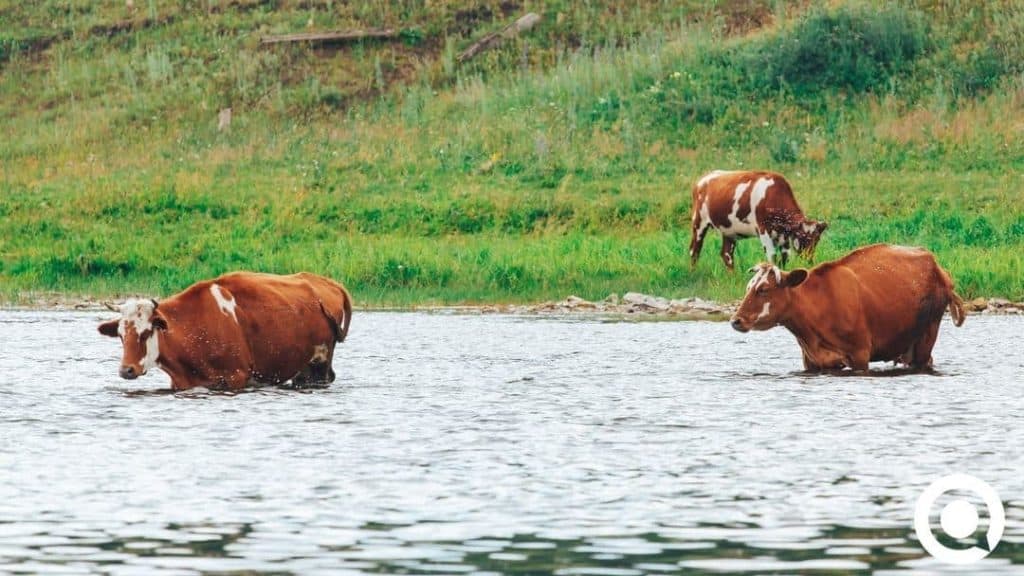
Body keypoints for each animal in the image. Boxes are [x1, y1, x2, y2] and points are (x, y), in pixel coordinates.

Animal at [98, 272, 353, 391]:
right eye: (121, 335)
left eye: (146, 332)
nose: (127, 370)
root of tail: (328, 283)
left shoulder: (236, 377)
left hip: (318, 366)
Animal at [689, 170, 828, 270]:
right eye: (803, 238)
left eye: (817, 240)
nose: (809, 260)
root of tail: (704, 178)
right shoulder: (763, 230)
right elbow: (772, 256)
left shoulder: (785, 237)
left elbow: (785, 258)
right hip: (699, 222)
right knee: (694, 250)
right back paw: (693, 272)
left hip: (728, 229)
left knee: (726, 254)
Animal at [729, 244, 965, 372]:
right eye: (748, 287)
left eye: (764, 289)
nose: (735, 320)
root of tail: (939, 268)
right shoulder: (811, 361)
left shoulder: (860, 354)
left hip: (927, 336)